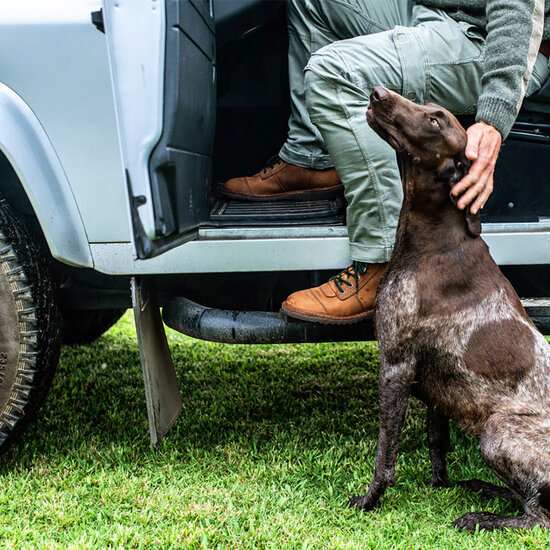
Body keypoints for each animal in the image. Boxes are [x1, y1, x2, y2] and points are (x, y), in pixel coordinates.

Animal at [352, 87, 550, 536]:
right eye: (425, 108)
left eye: (436, 120)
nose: (378, 93)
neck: (434, 240)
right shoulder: (434, 387)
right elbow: (436, 441)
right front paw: (438, 483)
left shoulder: (395, 366)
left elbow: (385, 455)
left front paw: (370, 501)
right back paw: (489, 489)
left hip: (497, 429)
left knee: (537, 518)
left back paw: (483, 516)